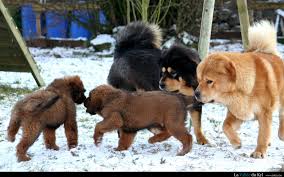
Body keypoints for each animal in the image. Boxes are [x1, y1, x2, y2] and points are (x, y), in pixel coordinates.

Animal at [195, 20, 284, 158]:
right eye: (199, 80)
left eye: (209, 81)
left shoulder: (264, 113)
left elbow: (262, 134)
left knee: (281, 117)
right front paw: (236, 142)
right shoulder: (237, 112)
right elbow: (225, 126)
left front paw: (259, 152)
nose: (196, 93)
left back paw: (281, 134)